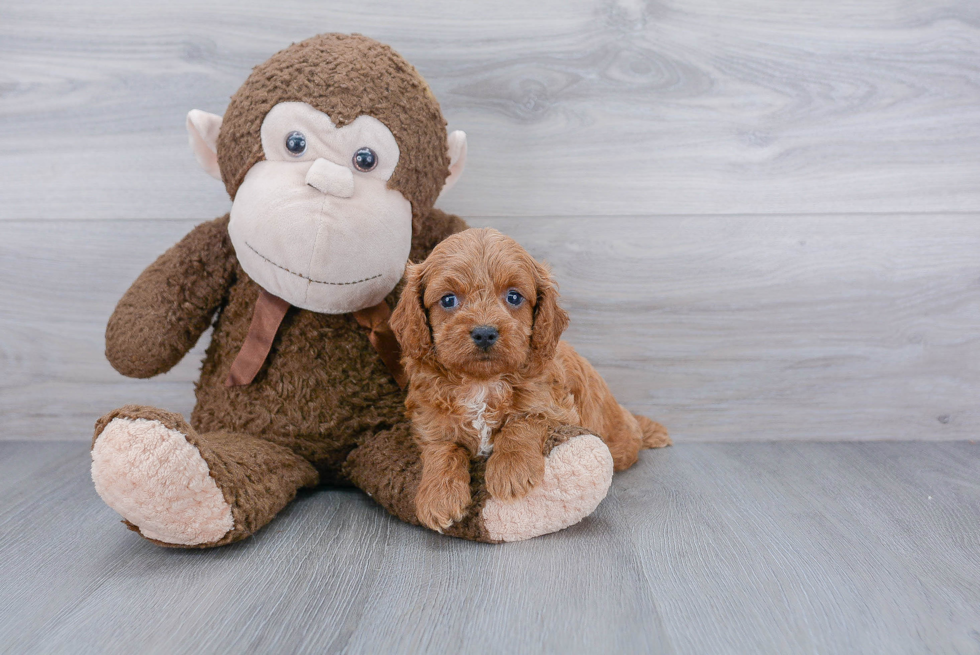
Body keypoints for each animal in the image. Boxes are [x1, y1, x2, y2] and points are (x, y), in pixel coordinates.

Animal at [386, 227, 668, 532]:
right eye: (448, 299)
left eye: (514, 297)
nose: (484, 333)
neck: (482, 382)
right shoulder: (430, 421)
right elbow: (442, 448)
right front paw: (438, 496)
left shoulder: (557, 409)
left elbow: (523, 420)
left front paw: (510, 471)